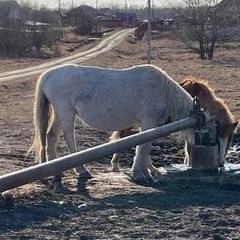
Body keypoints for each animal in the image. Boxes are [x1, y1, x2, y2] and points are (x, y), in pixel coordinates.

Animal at [30, 62, 195, 183]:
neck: (163, 90)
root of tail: (51, 73)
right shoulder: (148, 121)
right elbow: (143, 147)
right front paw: (140, 174)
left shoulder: (148, 125)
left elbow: (145, 146)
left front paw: (149, 171)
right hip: (66, 113)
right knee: (69, 137)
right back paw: (82, 170)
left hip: (59, 114)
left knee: (51, 136)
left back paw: (57, 172)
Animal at [110, 77, 238, 171]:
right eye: (216, 140)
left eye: (230, 141)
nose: (221, 164)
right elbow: (189, 149)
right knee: (123, 137)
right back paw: (116, 165)